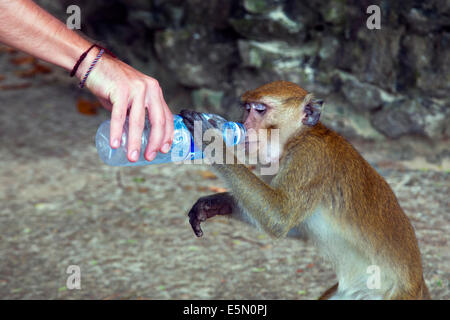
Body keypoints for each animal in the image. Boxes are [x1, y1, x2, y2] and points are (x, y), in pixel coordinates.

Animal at [179, 80, 428, 300]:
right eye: (247, 108)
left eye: (260, 109)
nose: (244, 124)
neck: (297, 139)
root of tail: (418, 284)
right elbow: (293, 226)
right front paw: (218, 203)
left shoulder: (309, 160)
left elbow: (279, 218)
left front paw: (209, 138)